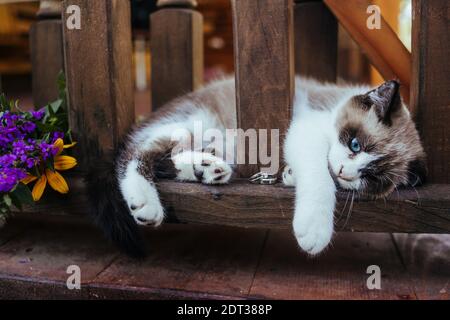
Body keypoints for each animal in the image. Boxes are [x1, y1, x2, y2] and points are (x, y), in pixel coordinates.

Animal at [87, 77, 426, 258]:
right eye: (355, 144)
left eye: (371, 177)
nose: (346, 172)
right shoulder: (305, 130)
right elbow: (320, 178)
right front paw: (314, 229)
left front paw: (289, 176)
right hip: (198, 122)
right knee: (136, 152)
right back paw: (145, 202)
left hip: (218, 140)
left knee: (171, 156)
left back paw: (207, 169)